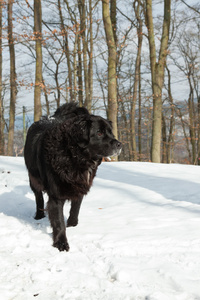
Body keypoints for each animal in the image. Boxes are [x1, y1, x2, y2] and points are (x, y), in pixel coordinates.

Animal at [25, 103, 122, 251]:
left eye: (111, 132)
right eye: (99, 133)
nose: (119, 144)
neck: (73, 156)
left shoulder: (80, 185)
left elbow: (75, 209)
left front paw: (72, 225)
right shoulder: (56, 195)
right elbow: (59, 222)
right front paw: (61, 242)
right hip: (33, 178)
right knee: (38, 197)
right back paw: (39, 215)